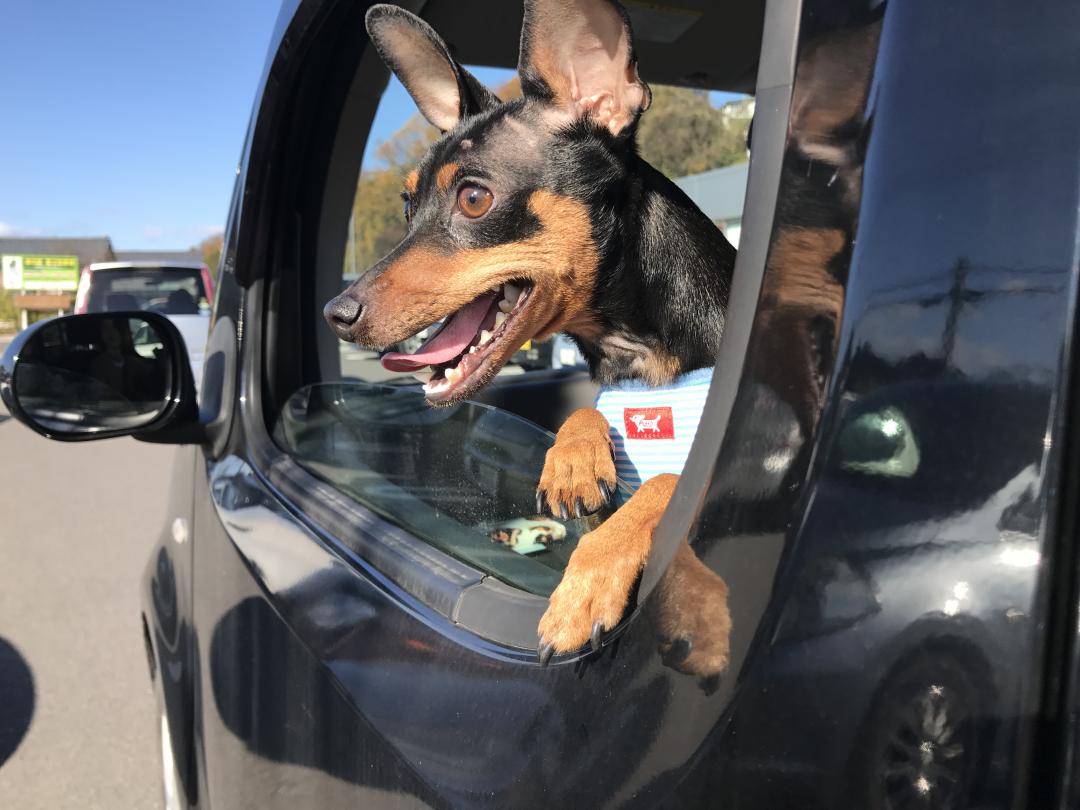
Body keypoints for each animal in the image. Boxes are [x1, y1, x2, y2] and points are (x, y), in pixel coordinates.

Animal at [324, 0, 738, 660]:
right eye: (408, 206)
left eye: (474, 199)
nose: (336, 313)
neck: (637, 358)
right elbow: (584, 414)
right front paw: (571, 459)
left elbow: (666, 479)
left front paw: (585, 587)